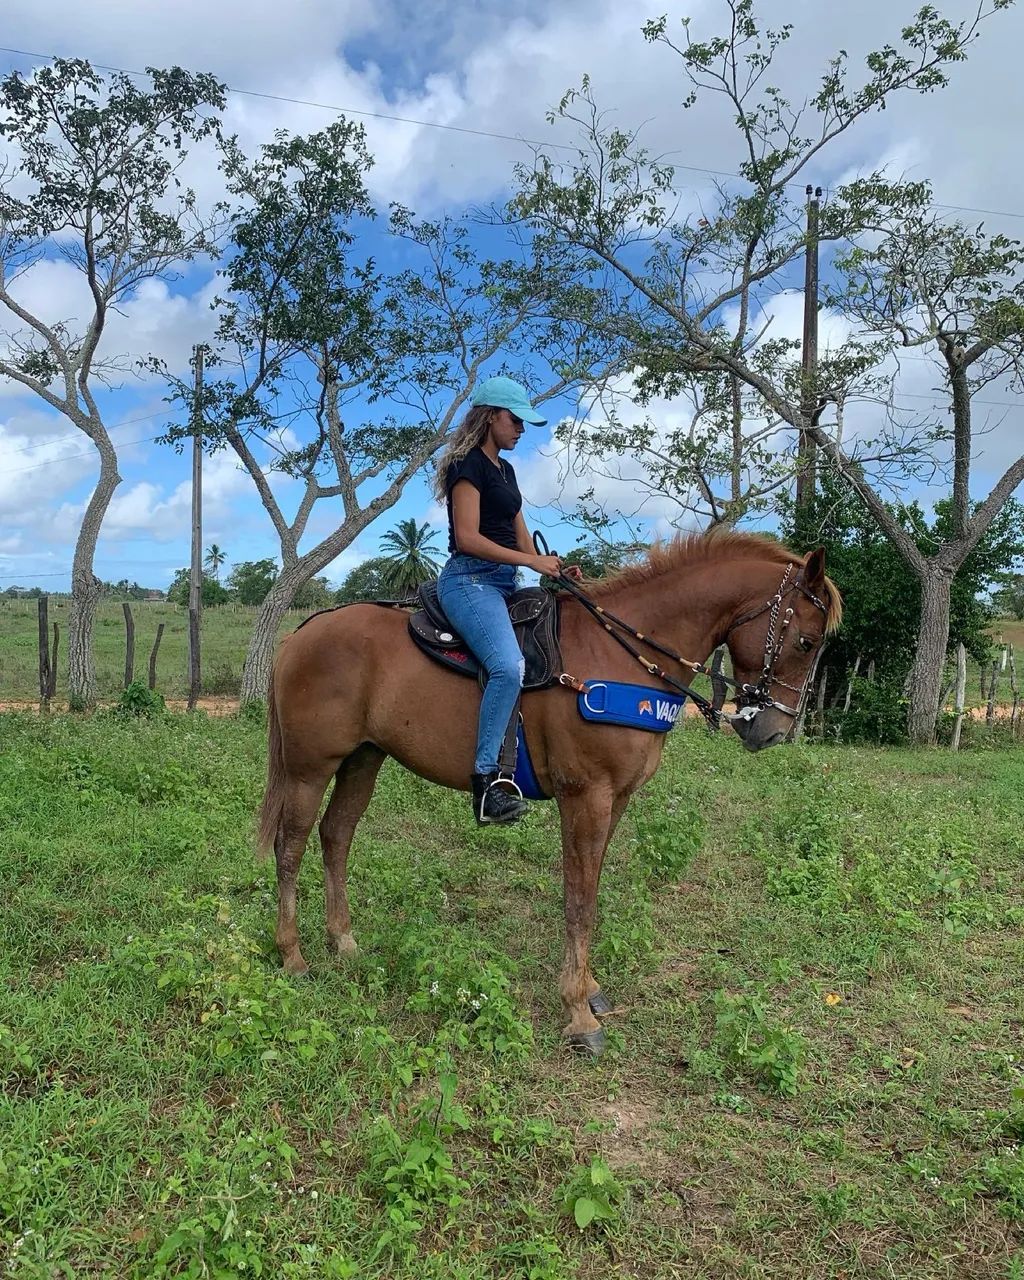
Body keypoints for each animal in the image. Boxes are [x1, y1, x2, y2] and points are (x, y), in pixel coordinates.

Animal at [256, 531, 841, 1055]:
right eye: (806, 641)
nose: (773, 731)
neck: (621, 656)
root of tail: (303, 633)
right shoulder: (586, 796)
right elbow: (579, 900)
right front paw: (579, 1014)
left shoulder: (616, 800)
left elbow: (591, 891)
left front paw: (590, 989)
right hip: (309, 768)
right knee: (291, 846)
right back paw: (292, 955)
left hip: (363, 758)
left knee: (336, 836)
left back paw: (343, 941)